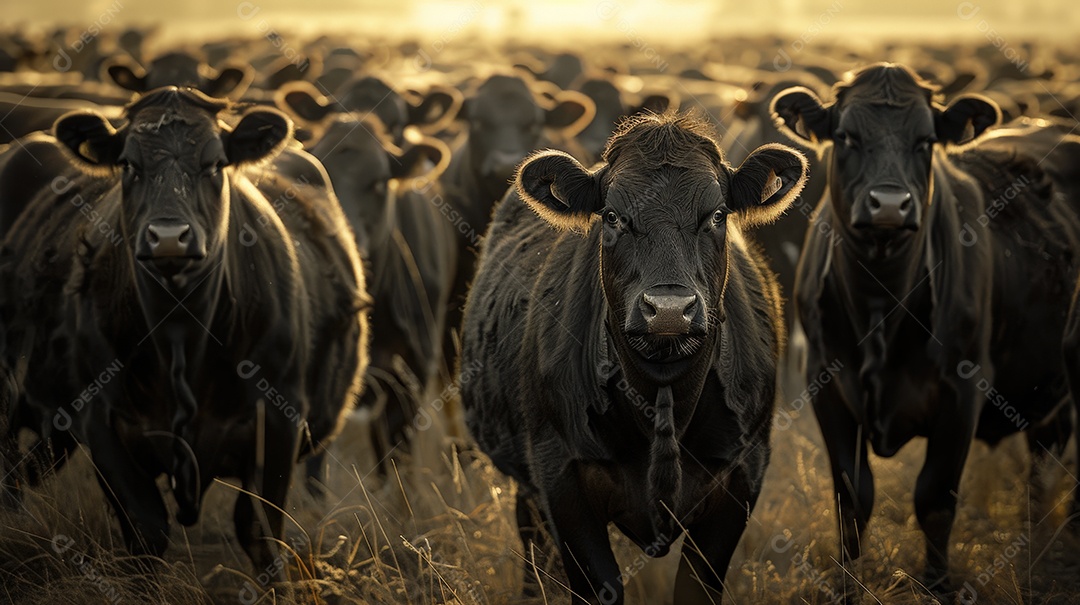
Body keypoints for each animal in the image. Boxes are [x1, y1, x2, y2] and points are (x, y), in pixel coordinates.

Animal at [0, 87, 368, 572]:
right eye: (128, 164)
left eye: (215, 163)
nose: (170, 237)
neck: (180, 333)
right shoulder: (102, 423)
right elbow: (146, 529)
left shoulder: (280, 421)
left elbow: (260, 532)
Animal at [460, 112, 808, 605]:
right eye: (612, 217)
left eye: (717, 215)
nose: (668, 310)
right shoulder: (559, 475)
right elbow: (599, 585)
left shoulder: (744, 474)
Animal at [772, 63, 1080, 593]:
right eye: (846, 135)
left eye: (926, 140)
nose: (889, 204)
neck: (881, 302)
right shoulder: (826, 386)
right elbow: (852, 500)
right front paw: (847, 587)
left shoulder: (963, 390)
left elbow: (934, 500)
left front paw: (936, 586)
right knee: (1044, 462)